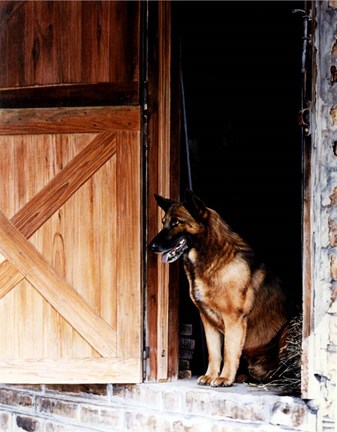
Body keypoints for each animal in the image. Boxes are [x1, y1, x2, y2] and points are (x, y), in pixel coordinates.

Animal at [148, 191, 290, 386]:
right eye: (164, 223)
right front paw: (211, 375)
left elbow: (228, 351)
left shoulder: (233, 319)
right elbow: (214, 352)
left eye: (176, 223)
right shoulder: (207, 320)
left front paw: (224, 378)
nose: (151, 247)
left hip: (287, 331)